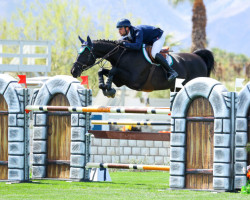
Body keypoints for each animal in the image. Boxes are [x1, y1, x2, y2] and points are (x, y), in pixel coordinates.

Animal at [71, 36, 215, 98]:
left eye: (85, 53)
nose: (73, 71)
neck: (123, 54)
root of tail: (198, 57)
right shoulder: (120, 80)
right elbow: (103, 70)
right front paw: (105, 87)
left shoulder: (134, 80)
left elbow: (113, 70)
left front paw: (109, 90)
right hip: (175, 88)